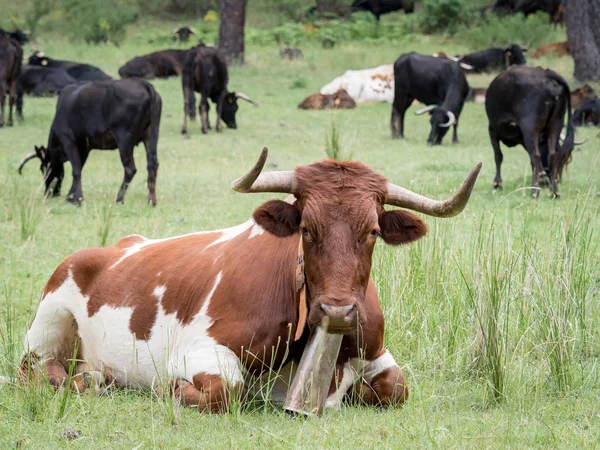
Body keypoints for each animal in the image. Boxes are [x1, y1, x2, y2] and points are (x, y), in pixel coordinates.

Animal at [17, 79, 162, 206]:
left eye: (43, 168)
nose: (49, 192)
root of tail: (144, 84)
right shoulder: (84, 146)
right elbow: (79, 166)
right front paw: (71, 196)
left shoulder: (68, 139)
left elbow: (76, 169)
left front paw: (77, 199)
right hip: (151, 135)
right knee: (152, 165)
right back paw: (151, 201)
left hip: (124, 140)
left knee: (130, 169)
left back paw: (119, 199)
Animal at [19, 149, 482, 414]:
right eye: (306, 228)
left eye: (372, 231)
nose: (337, 310)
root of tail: (115, 245)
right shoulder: (199, 351)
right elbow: (228, 391)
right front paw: (172, 391)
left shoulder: (375, 350)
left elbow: (397, 387)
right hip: (48, 321)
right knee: (37, 370)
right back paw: (86, 381)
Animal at [486, 64, 576, 197]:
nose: (557, 179)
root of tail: (547, 74)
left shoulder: (493, 129)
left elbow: (498, 156)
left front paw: (497, 184)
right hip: (556, 123)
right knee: (552, 155)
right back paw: (554, 192)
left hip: (530, 127)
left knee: (536, 155)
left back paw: (534, 192)